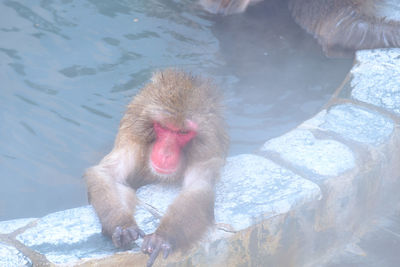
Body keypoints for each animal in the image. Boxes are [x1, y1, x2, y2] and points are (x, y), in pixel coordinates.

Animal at [85, 69, 228, 267]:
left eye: (183, 132)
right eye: (162, 126)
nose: (165, 153)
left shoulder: (206, 150)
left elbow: (198, 187)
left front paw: (162, 237)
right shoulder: (133, 139)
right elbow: (106, 173)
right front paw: (123, 227)